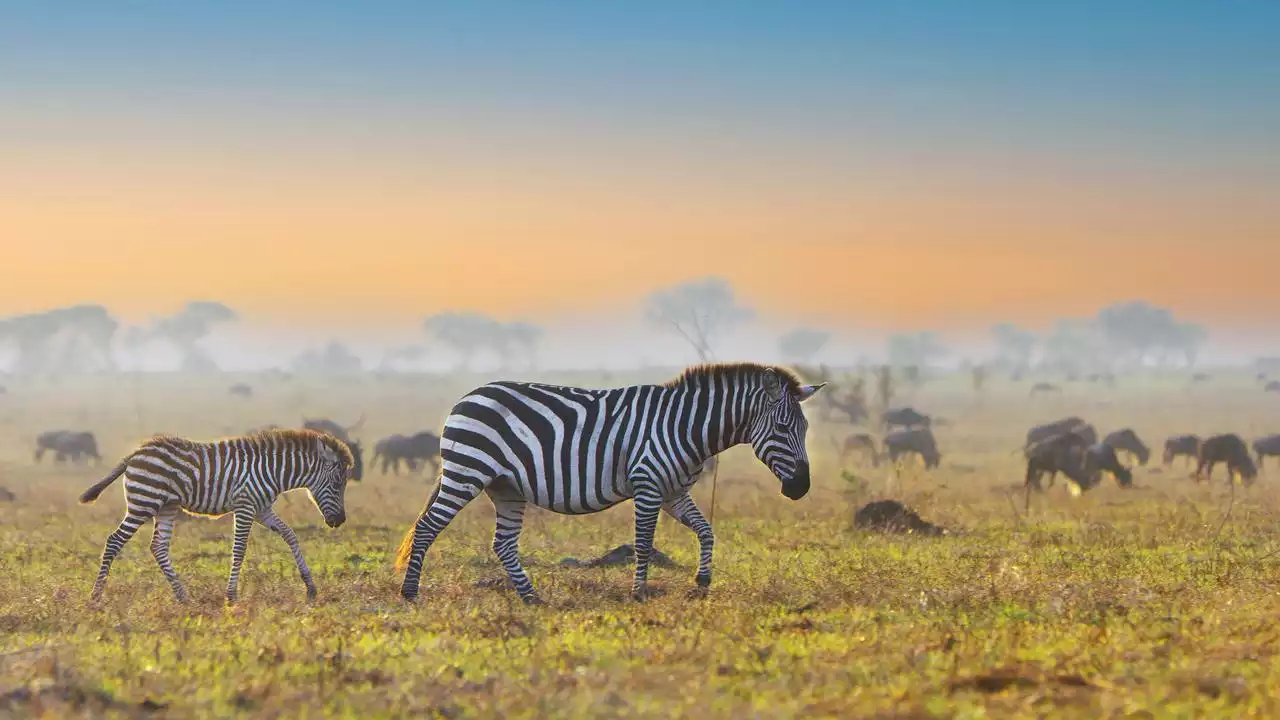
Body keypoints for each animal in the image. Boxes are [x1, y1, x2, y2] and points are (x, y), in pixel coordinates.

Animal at [77, 427, 358, 602]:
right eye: (337, 483)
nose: (340, 521)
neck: (273, 471)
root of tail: (135, 453)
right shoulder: (245, 505)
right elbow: (239, 549)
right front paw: (231, 596)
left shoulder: (262, 509)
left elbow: (290, 535)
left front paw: (310, 587)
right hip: (144, 501)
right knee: (115, 541)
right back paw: (95, 597)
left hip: (166, 506)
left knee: (158, 547)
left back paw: (184, 598)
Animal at [394, 361, 824, 602]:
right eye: (784, 427)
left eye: (805, 428)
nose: (800, 488)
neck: (686, 426)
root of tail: (466, 397)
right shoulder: (649, 484)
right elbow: (644, 543)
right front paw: (639, 594)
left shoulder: (674, 492)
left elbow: (706, 531)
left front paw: (701, 582)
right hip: (467, 472)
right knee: (427, 527)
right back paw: (410, 593)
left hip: (506, 488)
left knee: (503, 544)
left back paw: (532, 598)